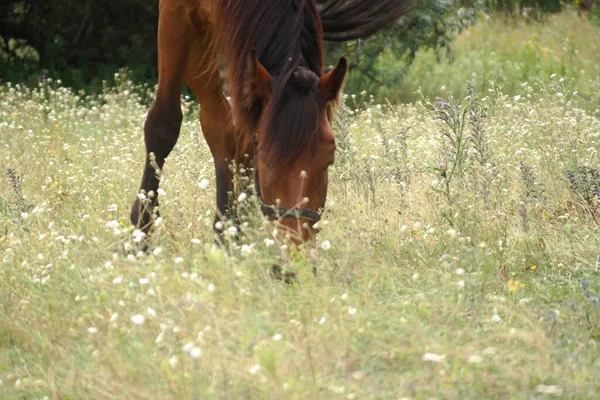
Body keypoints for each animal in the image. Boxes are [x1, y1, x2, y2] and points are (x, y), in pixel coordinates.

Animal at [131, 0, 412, 245]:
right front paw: (139, 235)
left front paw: (230, 231)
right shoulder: (178, 12)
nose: (295, 255)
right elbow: (164, 124)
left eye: (330, 158)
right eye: (264, 156)